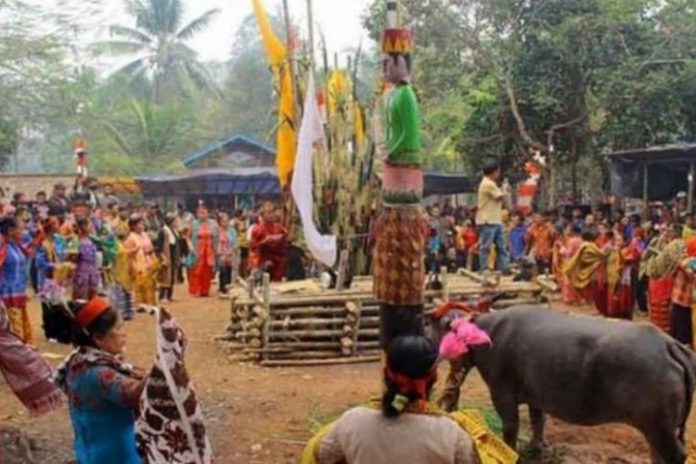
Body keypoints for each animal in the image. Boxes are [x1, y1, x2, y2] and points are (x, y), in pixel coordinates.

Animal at [430, 306, 696, 462]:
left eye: (434, 325)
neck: (484, 333)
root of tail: (669, 344)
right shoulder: (536, 396)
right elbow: (538, 420)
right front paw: (536, 449)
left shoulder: (501, 392)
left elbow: (510, 427)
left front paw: (512, 452)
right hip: (658, 428)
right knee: (657, 453)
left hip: (658, 427)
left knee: (675, 454)